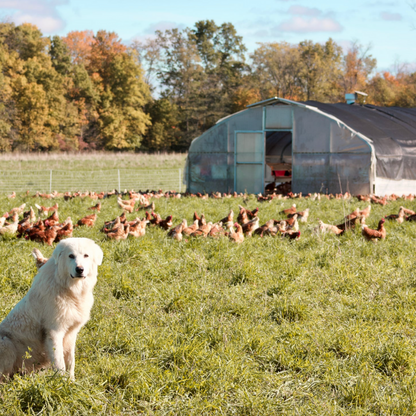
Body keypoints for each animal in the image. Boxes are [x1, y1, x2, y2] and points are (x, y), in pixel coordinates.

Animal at [0, 237, 103, 380]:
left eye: (86, 255)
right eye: (71, 256)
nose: (80, 269)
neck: (69, 289)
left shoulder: (71, 333)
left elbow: (70, 361)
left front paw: (72, 381)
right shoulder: (55, 332)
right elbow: (60, 363)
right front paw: (62, 382)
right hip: (6, 343)